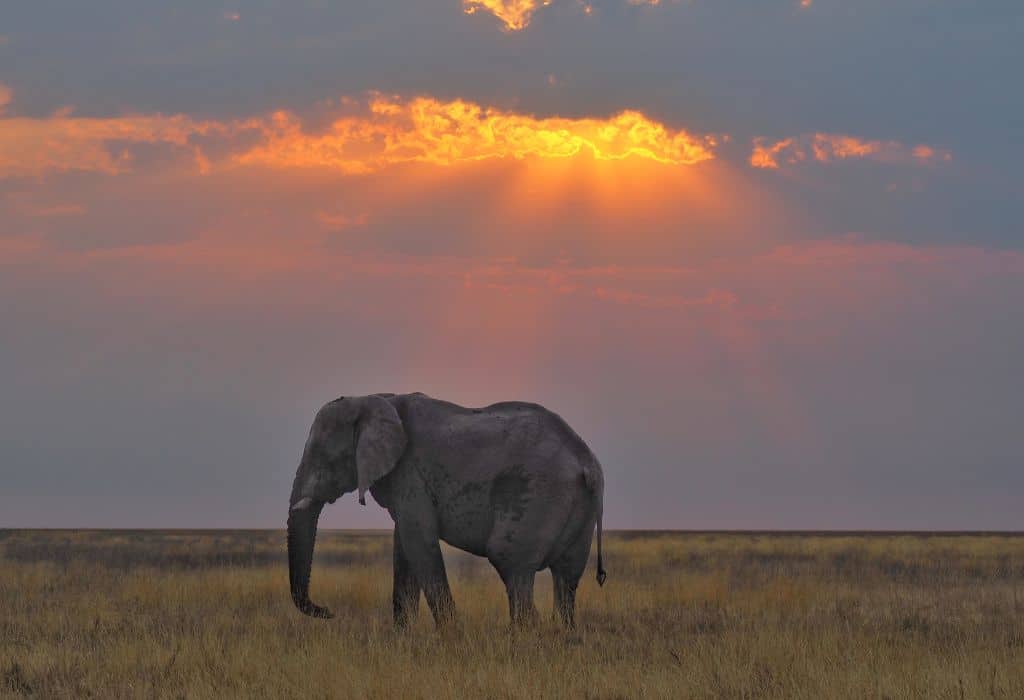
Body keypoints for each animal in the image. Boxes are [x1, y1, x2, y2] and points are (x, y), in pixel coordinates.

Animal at [286, 392, 606, 630]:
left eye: (324, 459)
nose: (328, 611)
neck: (374, 398)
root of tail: (587, 460)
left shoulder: (410, 473)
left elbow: (418, 541)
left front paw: (451, 637)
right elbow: (404, 548)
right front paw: (403, 638)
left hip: (538, 494)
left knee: (511, 564)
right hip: (580, 508)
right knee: (566, 578)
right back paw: (563, 636)